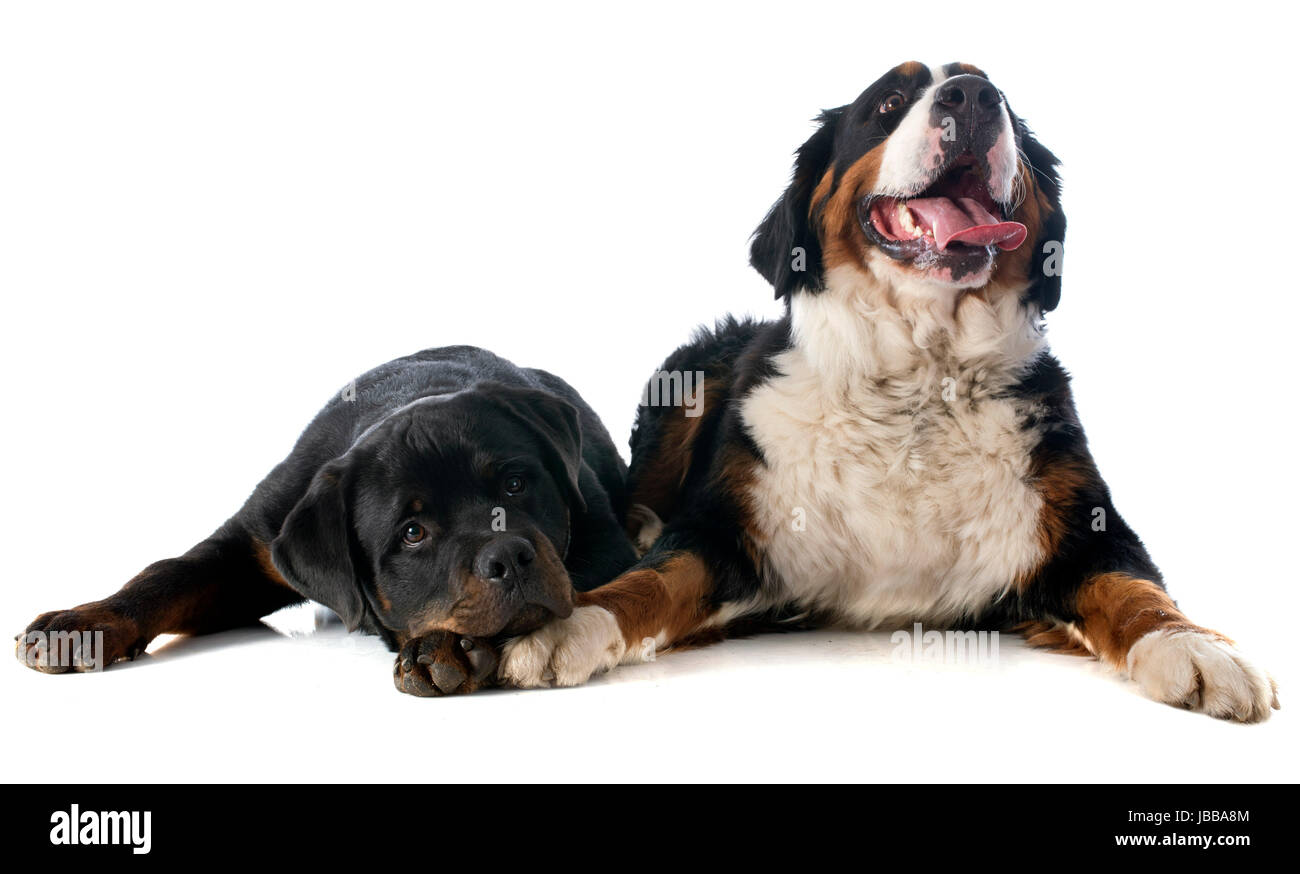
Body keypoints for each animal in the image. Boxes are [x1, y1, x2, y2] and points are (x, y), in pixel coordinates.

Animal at [15, 345, 634, 691]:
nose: (507, 554)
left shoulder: (602, 541)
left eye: (514, 484)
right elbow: (167, 574)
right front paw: (83, 622)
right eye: (412, 533)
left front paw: (444, 647)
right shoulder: (254, 545)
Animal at [493, 57, 1279, 717]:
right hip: (688, 375)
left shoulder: (1082, 527)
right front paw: (567, 626)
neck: (916, 388)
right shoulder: (723, 532)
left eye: (1001, 96)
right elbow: (650, 581)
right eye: (889, 104)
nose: (975, 97)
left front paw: (1197, 647)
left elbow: (1134, 589)